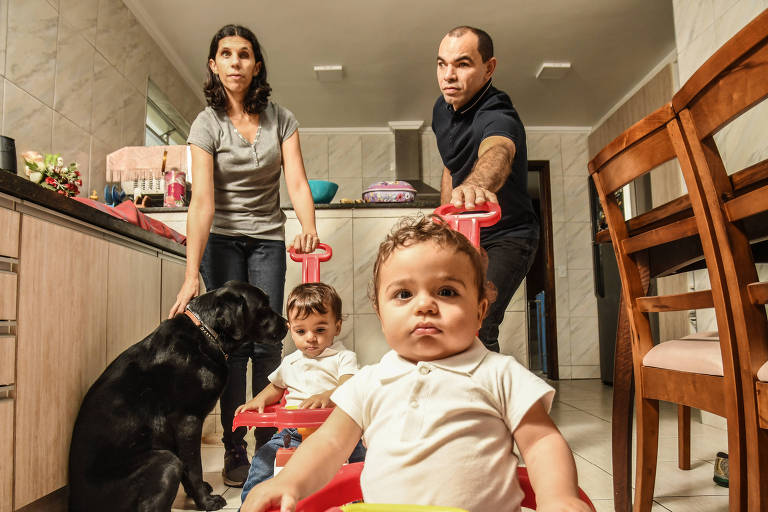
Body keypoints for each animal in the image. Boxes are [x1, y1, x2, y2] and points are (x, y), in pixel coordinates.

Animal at [66, 282, 286, 510]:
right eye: (264, 306)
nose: (287, 323)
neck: (205, 334)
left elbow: (187, 469)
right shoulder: (187, 420)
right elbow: (194, 467)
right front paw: (206, 501)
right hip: (166, 463)